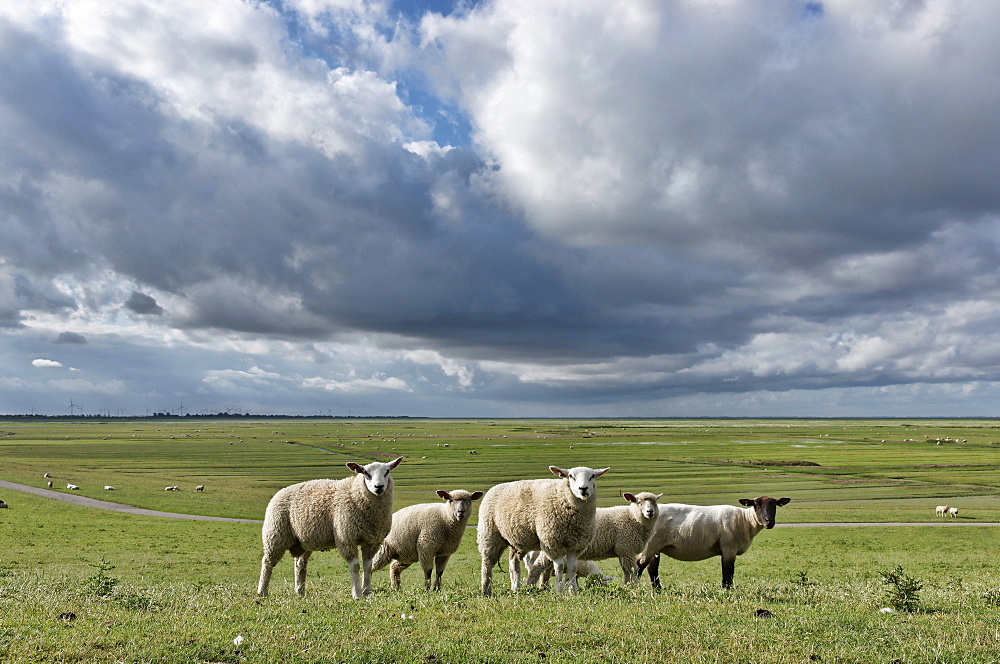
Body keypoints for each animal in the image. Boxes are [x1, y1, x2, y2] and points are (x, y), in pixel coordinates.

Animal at [260, 456, 404, 600]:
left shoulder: (372, 541)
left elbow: (368, 566)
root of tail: (281, 491)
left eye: (387, 472)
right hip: (275, 534)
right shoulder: (346, 538)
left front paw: (367, 592)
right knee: (268, 562)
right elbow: (355, 566)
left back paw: (300, 592)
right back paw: (262, 592)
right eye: (365, 473)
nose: (378, 487)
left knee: (300, 564)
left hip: (304, 540)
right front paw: (357, 594)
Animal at [476, 466, 608, 596]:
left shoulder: (576, 545)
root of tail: (494, 488)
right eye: (571, 476)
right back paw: (486, 590)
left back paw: (515, 588)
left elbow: (572, 568)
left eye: (592, 476)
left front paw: (574, 592)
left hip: (518, 540)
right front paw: (560, 591)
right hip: (490, 534)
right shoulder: (552, 543)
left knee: (514, 564)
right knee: (487, 564)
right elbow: (559, 567)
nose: (583, 489)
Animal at [528, 488, 660, 588]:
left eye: (654, 502)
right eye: (639, 502)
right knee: (538, 566)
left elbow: (626, 571)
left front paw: (627, 586)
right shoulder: (626, 548)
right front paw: (636, 587)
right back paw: (531, 586)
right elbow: (633, 570)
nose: (650, 512)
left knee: (546, 569)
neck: (633, 518)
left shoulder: (624, 552)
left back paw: (543, 587)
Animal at [636, 496, 792, 588]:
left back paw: (658, 590)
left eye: (775, 506)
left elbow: (726, 571)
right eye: (756, 506)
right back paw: (634, 586)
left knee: (652, 569)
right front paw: (728, 590)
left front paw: (725, 589)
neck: (745, 520)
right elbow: (728, 571)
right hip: (650, 544)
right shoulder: (729, 547)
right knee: (640, 565)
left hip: (656, 546)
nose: (769, 522)